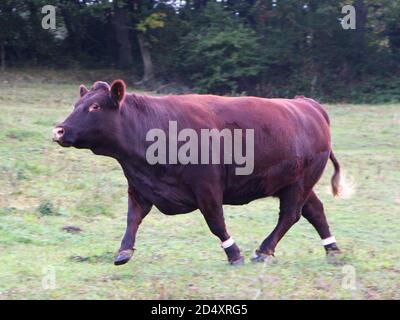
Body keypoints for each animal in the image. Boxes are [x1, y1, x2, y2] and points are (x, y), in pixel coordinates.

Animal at [51, 80, 342, 264]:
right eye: (77, 105)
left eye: (95, 107)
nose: (59, 130)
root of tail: (308, 105)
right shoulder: (140, 187)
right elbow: (132, 219)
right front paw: (124, 251)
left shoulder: (207, 187)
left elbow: (216, 222)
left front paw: (234, 253)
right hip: (294, 183)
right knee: (314, 211)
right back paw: (332, 249)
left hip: (300, 183)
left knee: (290, 214)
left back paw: (264, 250)